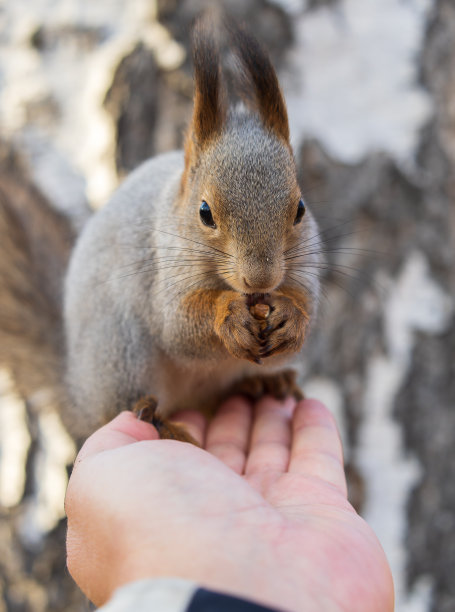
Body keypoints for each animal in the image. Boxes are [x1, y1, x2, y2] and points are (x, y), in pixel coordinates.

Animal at [0, 15, 320, 444]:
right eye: (205, 212)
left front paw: (291, 316)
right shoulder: (161, 268)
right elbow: (178, 326)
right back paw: (156, 420)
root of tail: (78, 392)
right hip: (121, 348)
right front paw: (228, 315)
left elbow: (307, 301)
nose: (261, 279)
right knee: (118, 405)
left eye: (299, 209)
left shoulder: (304, 262)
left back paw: (264, 383)